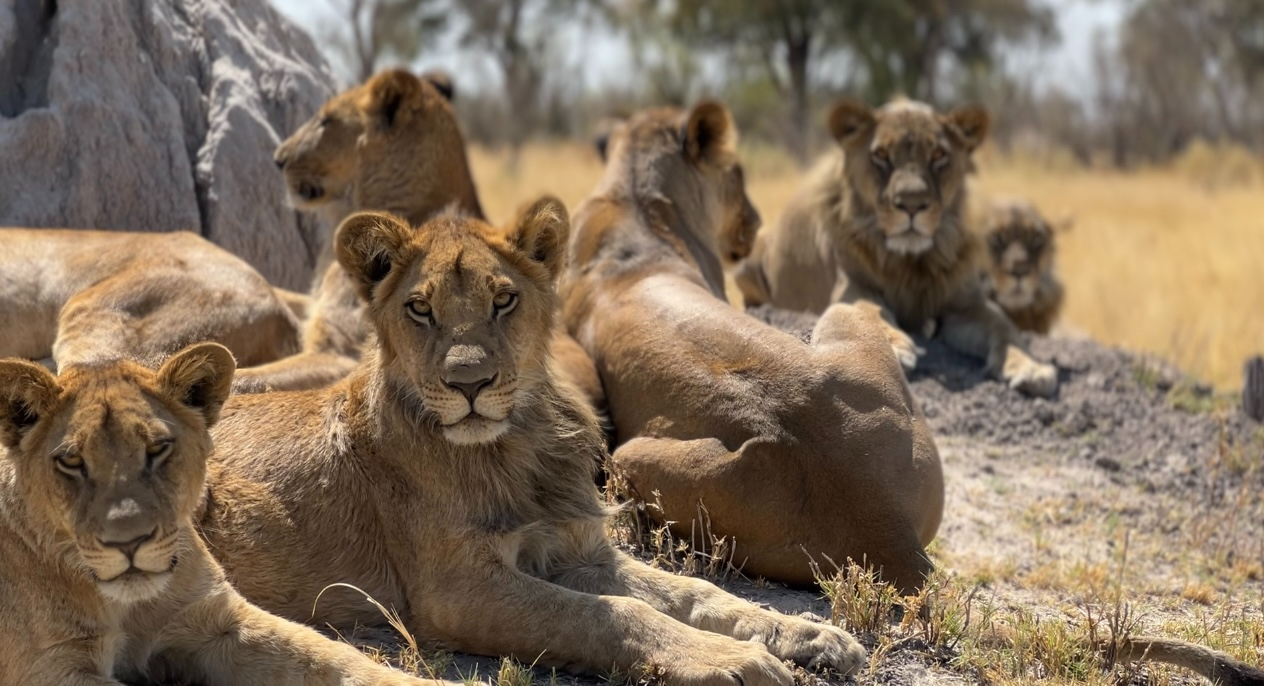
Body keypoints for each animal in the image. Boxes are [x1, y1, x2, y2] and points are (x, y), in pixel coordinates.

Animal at [0, 343, 439, 685]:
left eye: (157, 449)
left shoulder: (218, 619)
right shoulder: (52, 667)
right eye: (72, 461)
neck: (129, 606)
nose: (129, 543)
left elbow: (334, 658)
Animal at [199, 201, 865, 686]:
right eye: (420, 308)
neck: (512, 448)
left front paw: (809, 634)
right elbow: (610, 616)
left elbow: (697, 591)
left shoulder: (577, 551)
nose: (469, 383)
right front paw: (735, 660)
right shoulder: (457, 591)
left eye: (504, 299)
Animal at [735, 99, 1057, 397]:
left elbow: (1005, 328)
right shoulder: (852, 288)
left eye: (938, 155)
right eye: (880, 155)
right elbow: (869, 313)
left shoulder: (967, 303)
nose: (912, 204)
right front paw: (893, 347)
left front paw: (1032, 368)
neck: (911, 261)